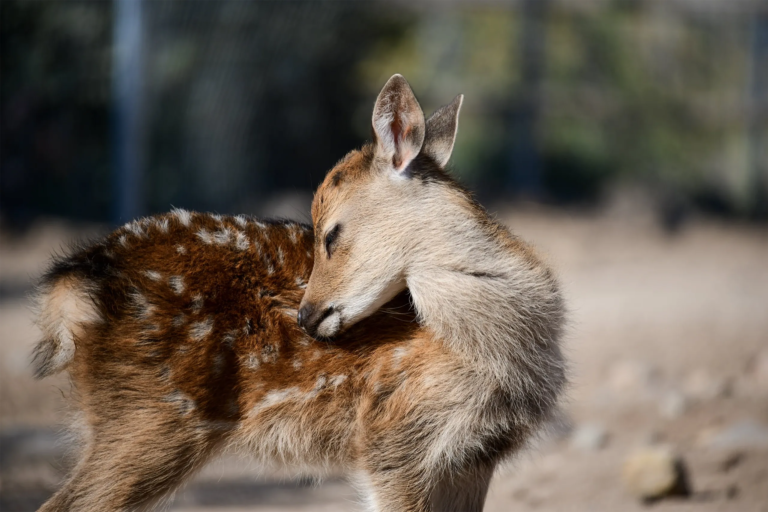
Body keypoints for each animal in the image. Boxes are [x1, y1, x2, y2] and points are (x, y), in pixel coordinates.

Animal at [32, 74, 566, 512]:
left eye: (331, 234)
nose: (306, 316)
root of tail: (74, 283)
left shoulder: (472, 456)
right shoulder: (393, 437)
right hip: (152, 415)